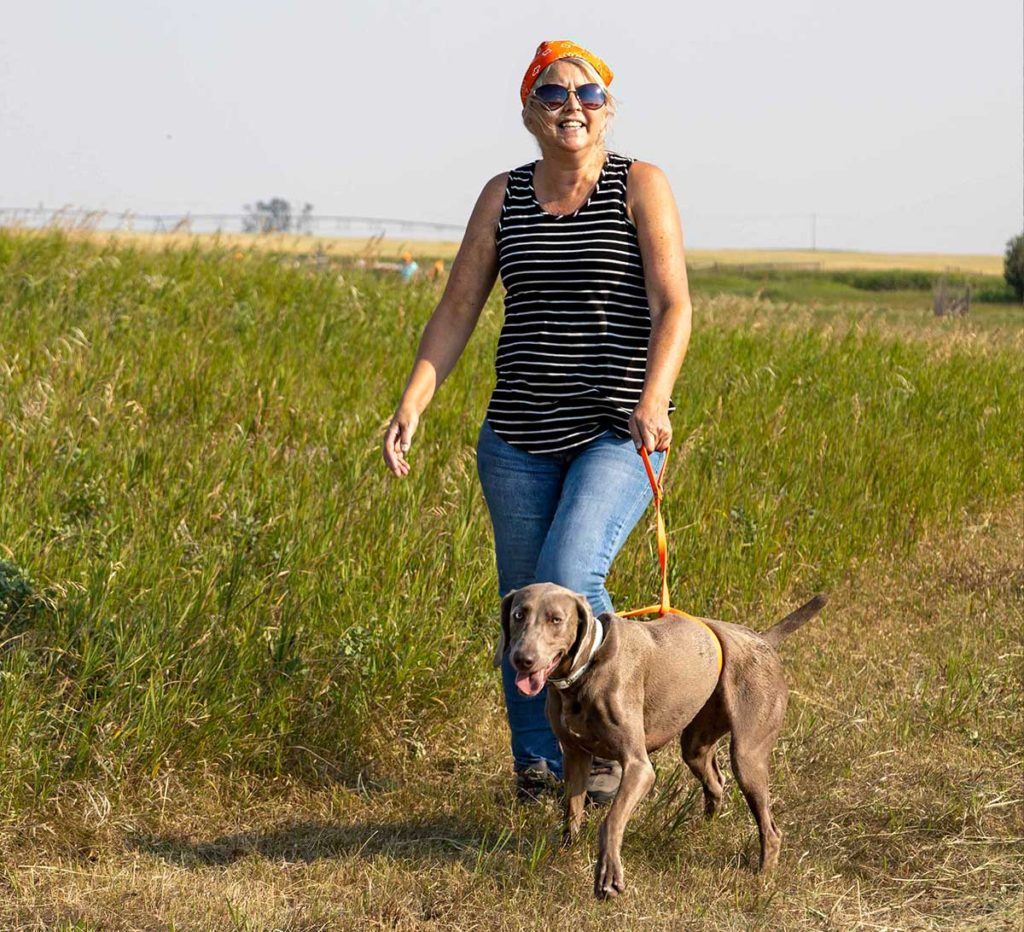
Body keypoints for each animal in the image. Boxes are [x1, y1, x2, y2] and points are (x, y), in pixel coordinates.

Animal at [493, 581, 823, 897]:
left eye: (556, 619)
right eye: (518, 615)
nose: (522, 659)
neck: (586, 670)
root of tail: (762, 639)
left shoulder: (639, 767)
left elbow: (611, 820)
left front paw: (608, 876)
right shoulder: (575, 755)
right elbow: (572, 811)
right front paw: (565, 854)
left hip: (747, 753)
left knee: (770, 828)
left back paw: (763, 875)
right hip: (696, 743)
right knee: (715, 781)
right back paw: (703, 828)